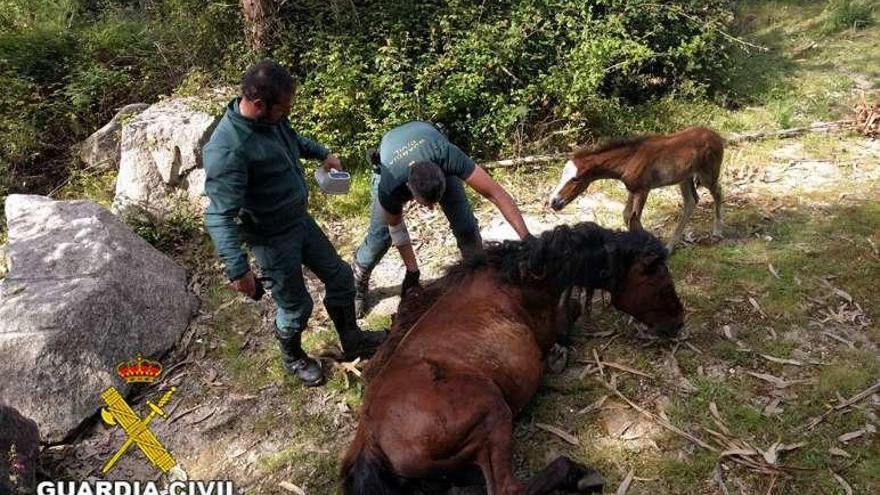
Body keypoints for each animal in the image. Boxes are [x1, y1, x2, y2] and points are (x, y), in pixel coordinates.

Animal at [340, 224, 684, 495]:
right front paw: (559, 352)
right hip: (493, 410)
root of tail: (370, 437)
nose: (679, 323)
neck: (521, 277)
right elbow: (569, 313)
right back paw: (578, 474)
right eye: (663, 283)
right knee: (507, 489)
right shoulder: (547, 324)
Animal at [548, 128, 724, 252]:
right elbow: (627, 216)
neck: (629, 159)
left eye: (575, 179)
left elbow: (633, 219)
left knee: (717, 192)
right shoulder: (632, 189)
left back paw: (717, 232)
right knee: (691, 201)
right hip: (684, 178)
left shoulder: (642, 190)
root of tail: (717, 136)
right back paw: (670, 247)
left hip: (708, 175)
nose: (554, 202)